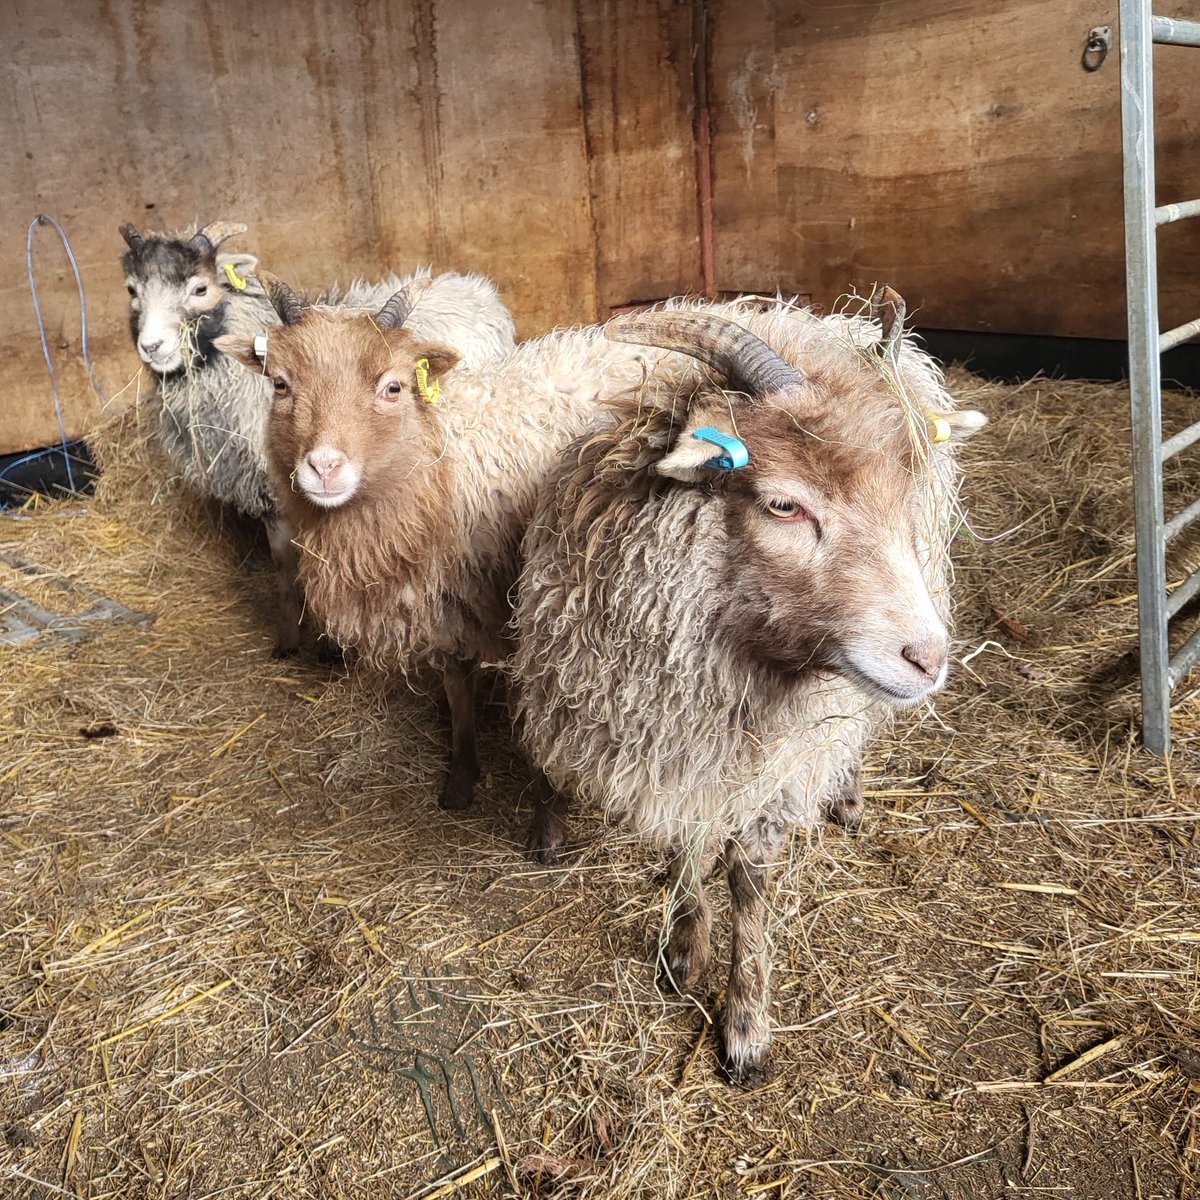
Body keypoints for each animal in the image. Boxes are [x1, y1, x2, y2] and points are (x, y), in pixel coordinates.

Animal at [119, 222, 515, 656]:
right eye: (133, 290)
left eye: (200, 289)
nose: (153, 347)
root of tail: (474, 286)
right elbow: (284, 569)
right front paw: (289, 641)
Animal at [213, 275, 673, 811]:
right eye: (281, 384)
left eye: (394, 387)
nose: (324, 467)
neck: (440, 457)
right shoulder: (447, 601)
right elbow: (456, 682)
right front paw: (461, 768)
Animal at [509, 291, 987, 1085]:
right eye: (784, 505)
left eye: (904, 496)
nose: (927, 658)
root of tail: (830, 323)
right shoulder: (672, 741)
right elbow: (684, 851)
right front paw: (684, 946)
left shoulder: (779, 766)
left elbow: (750, 882)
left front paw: (745, 1026)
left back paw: (848, 793)